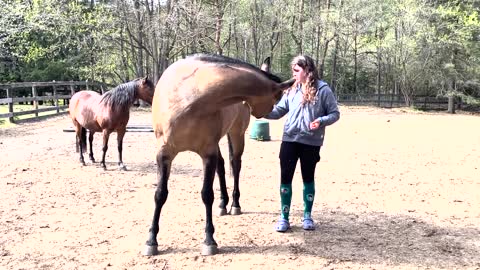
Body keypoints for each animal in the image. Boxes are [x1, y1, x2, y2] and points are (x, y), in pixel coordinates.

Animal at [142, 53, 292, 256]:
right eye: (278, 96)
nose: (267, 113)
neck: (188, 96)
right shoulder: (164, 154)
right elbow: (160, 194)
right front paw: (151, 240)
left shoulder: (207, 154)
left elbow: (207, 194)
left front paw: (209, 240)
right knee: (222, 165)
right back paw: (223, 204)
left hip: (236, 135)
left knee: (235, 165)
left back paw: (234, 204)